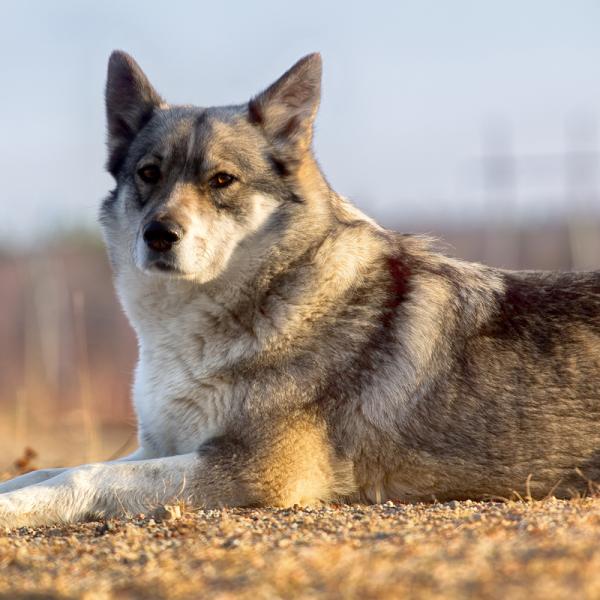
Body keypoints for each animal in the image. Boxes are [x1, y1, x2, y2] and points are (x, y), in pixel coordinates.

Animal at [1, 51, 600, 528]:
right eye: (149, 174)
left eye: (222, 181)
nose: (158, 234)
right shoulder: (162, 446)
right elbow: (56, 467)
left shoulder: (254, 469)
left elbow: (79, 477)